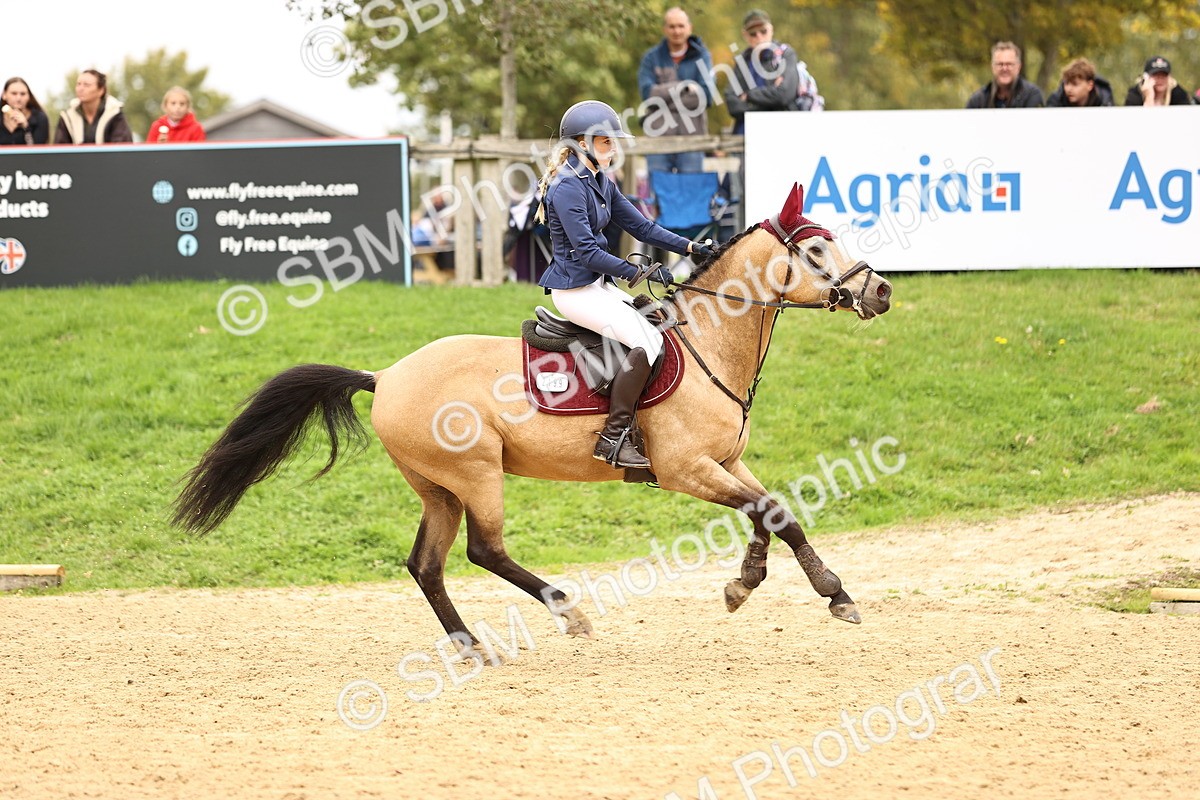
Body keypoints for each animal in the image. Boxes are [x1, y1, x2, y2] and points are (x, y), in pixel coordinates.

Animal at [173, 183, 892, 658]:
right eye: (818, 253)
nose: (881, 291)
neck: (707, 343)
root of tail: (386, 375)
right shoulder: (685, 469)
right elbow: (776, 513)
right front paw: (832, 595)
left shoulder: (726, 461)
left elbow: (770, 514)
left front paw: (746, 584)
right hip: (474, 474)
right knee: (483, 550)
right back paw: (567, 614)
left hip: (437, 488)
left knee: (426, 564)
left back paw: (469, 645)